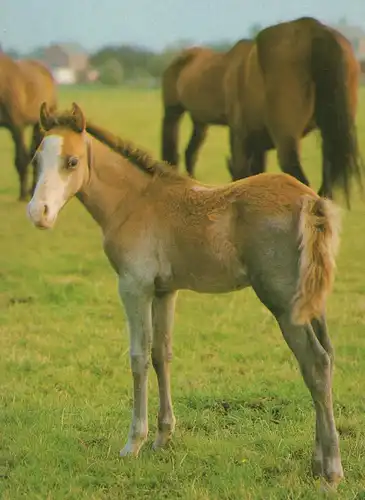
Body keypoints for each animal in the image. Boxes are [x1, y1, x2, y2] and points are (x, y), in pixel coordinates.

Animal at [27, 102, 342, 488]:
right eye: (37, 159)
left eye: (71, 161)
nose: (38, 213)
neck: (134, 202)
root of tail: (311, 202)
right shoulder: (165, 291)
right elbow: (161, 355)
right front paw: (163, 437)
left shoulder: (134, 286)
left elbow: (138, 359)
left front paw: (133, 442)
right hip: (311, 299)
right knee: (327, 359)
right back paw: (316, 460)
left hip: (284, 304)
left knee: (315, 363)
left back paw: (331, 470)